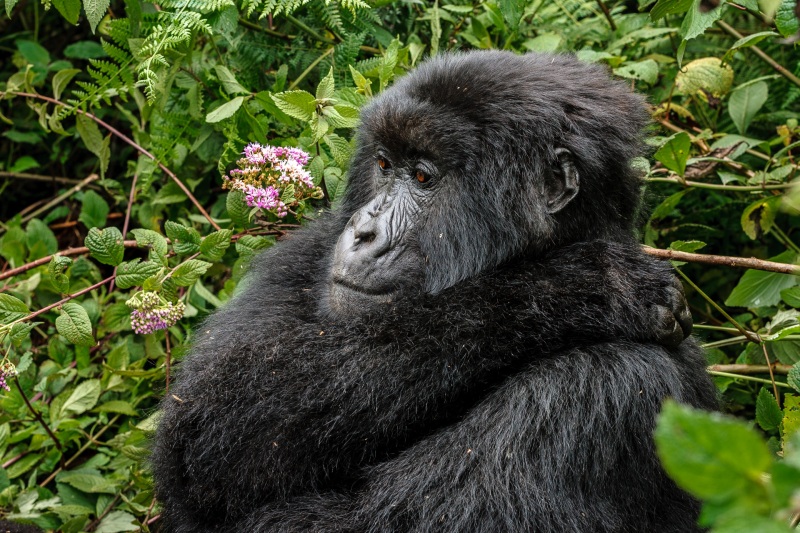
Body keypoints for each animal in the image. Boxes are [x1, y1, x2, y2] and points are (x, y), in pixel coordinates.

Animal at [152, 51, 720, 532]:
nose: (362, 232)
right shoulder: (308, 250)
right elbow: (211, 415)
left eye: (423, 177)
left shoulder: (614, 385)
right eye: (384, 165)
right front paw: (587, 283)